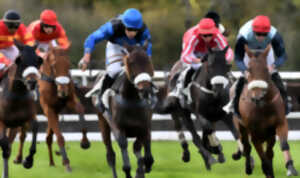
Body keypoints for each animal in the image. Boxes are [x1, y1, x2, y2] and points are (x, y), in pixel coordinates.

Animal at [0, 40, 42, 178]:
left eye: (39, 60)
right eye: (19, 60)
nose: (32, 82)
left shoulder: (27, 117)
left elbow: (35, 127)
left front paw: (28, 160)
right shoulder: (1, 122)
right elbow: (4, 146)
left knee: (21, 137)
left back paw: (18, 158)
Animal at [96, 43, 157, 178]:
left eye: (149, 61)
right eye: (131, 62)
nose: (145, 90)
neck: (131, 98)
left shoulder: (144, 126)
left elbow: (146, 156)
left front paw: (143, 169)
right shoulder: (119, 128)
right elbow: (125, 154)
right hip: (103, 125)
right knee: (110, 155)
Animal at [234, 45, 298, 177]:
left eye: (265, 69)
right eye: (249, 69)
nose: (257, 97)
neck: (262, 107)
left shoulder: (279, 124)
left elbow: (280, 146)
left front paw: (290, 167)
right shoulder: (254, 133)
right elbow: (262, 156)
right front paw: (266, 169)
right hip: (241, 127)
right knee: (246, 146)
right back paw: (248, 168)